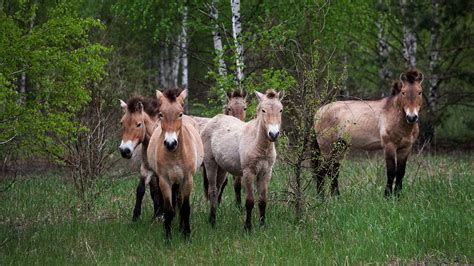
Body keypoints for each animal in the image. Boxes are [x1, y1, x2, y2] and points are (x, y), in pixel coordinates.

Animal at [148, 89, 204, 241]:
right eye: (161, 114)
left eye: (180, 114)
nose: (170, 143)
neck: (175, 155)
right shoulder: (164, 181)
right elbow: (168, 210)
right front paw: (168, 238)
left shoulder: (187, 180)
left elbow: (185, 208)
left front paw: (187, 235)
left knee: (179, 202)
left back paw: (180, 228)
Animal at [201, 89, 284, 231]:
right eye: (263, 110)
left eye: (281, 110)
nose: (273, 134)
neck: (258, 144)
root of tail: (214, 119)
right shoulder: (248, 172)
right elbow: (249, 201)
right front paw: (247, 227)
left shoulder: (266, 172)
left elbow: (263, 200)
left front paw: (262, 226)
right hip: (210, 164)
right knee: (212, 191)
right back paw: (212, 222)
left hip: (222, 169)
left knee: (218, 188)